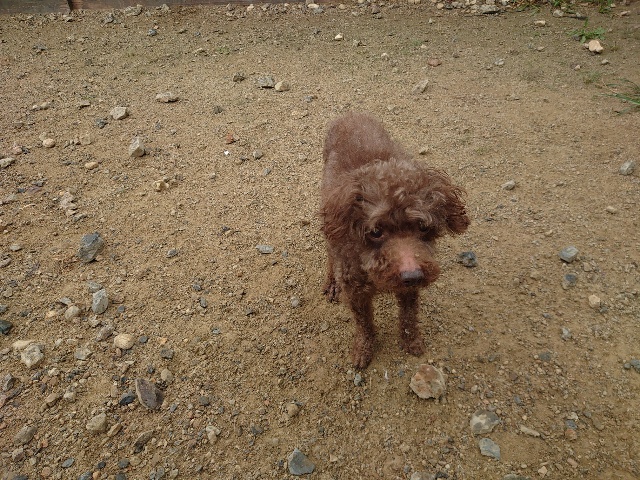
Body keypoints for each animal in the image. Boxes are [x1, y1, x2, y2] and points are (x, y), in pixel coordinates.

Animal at [320, 112, 470, 368]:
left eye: (423, 227)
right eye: (376, 232)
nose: (413, 276)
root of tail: (350, 115)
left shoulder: (410, 287)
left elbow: (409, 317)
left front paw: (412, 342)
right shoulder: (355, 291)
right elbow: (364, 324)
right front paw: (363, 350)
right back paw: (332, 284)